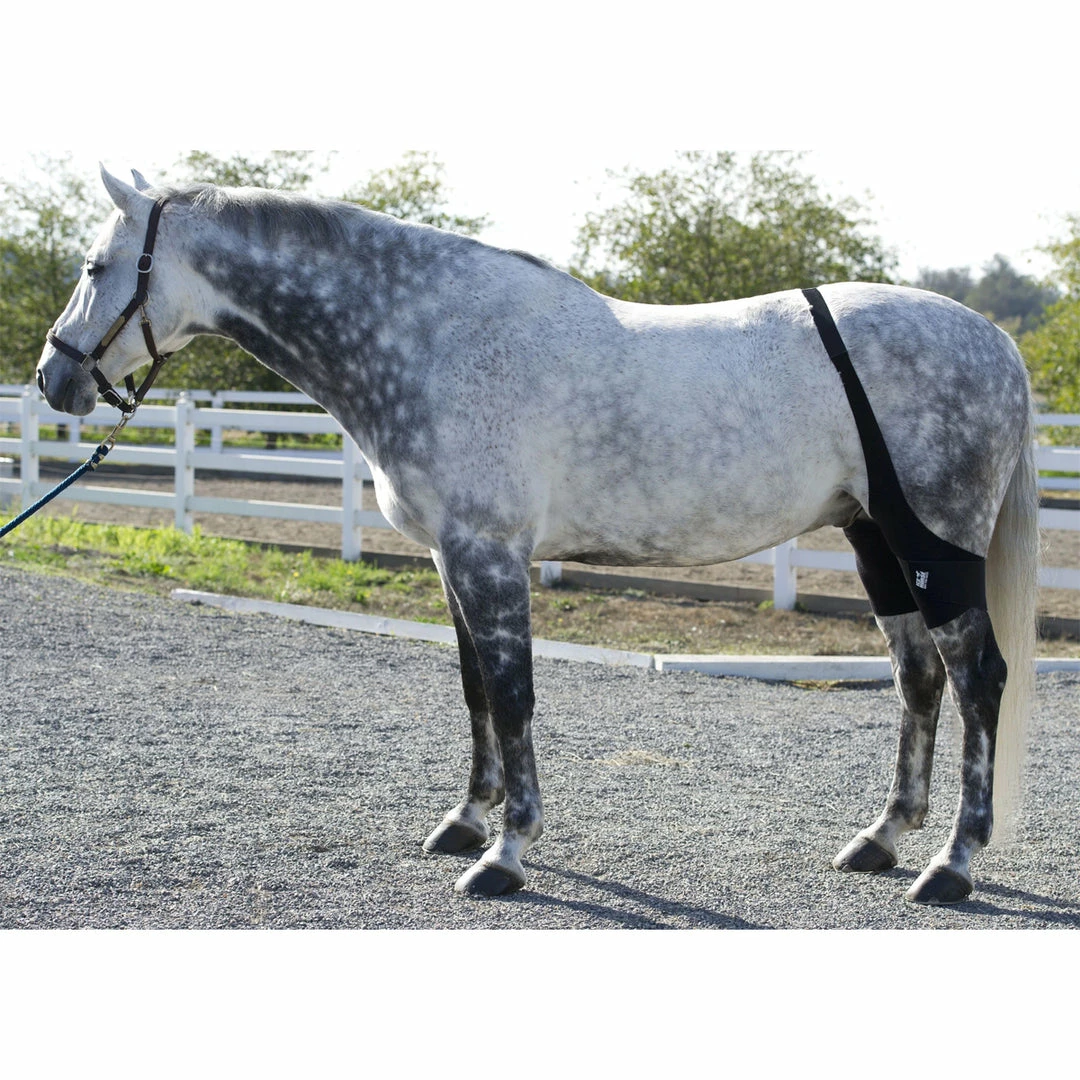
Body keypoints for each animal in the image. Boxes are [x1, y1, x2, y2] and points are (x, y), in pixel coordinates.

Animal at [35, 165, 1039, 906]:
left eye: (93, 267)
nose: (53, 377)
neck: (431, 337)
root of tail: (995, 340)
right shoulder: (452, 557)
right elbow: (476, 689)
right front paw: (465, 822)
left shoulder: (489, 552)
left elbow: (514, 695)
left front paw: (506, 853)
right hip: (876, 545)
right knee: (919, 679)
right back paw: (881, 839)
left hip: (936, 550)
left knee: (978, 679)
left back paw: (952, 866)